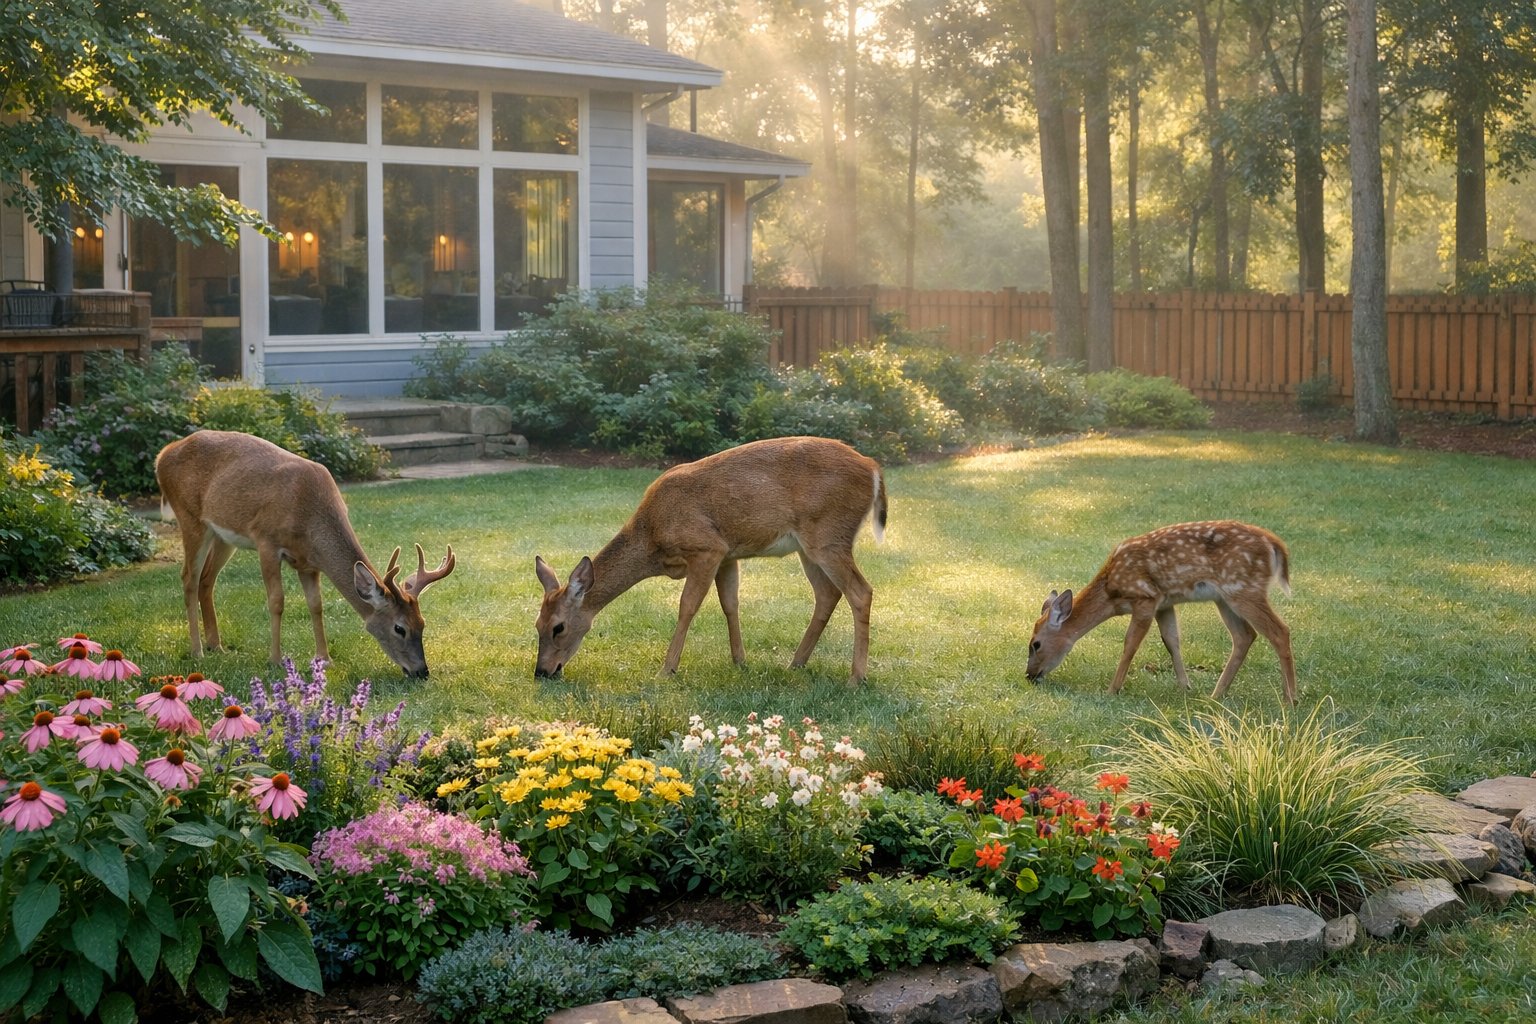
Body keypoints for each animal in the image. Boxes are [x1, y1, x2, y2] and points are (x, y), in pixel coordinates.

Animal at [155, 430, 456, 678]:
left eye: (423, 624)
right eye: (399, 628)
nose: (421, 672)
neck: (311, 517)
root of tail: (163, 454)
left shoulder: (308, 563)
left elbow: (316, 605)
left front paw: (324, 659)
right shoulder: (266, 541)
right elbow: (277, 601)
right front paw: (275, 659)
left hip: (223, 535)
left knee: (207, 580)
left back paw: (216, 645)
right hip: (190, 518)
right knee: (189, 578)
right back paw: (197, 651)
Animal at [533, 435, 886, 683]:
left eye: (558, 628)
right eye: (536, 624)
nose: (542, 672)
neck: (651, 537)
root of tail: (873, 467)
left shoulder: (707, 548)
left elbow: (687, 606)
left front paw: (667, 669)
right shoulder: (728, 554)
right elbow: (730, 603)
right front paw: (740, 661)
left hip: (828, 536)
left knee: (861, 591)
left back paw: (856, 678)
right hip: (808, 547)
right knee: (828, 593)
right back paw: (796, 663)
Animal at [1026, 521, 1297, 704]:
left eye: (1036, 644)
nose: (1029, 675)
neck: (1112, 591)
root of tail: (1275, 544)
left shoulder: (1146, 598)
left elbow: (1130, 644)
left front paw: (1112, 690)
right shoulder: (1165, 603)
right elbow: (1171, 640)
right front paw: (1185, 687)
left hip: (1244, 588)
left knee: (1279, 631)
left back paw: (1290, 699)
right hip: (1224, 597)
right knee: (1245, 636)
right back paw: (1216, 695)